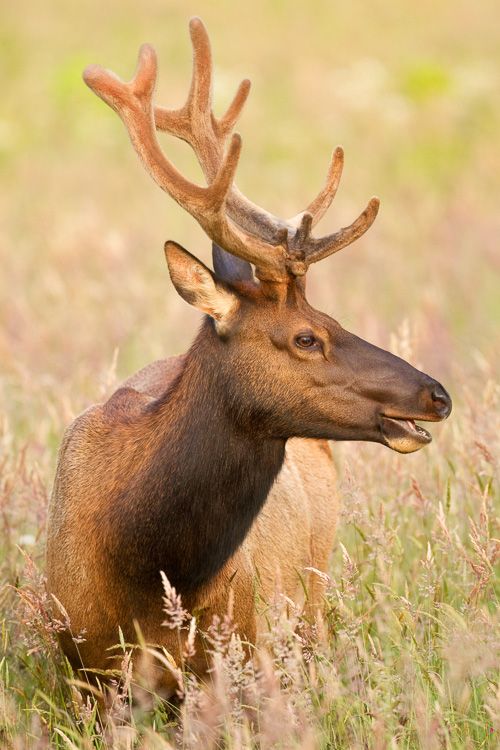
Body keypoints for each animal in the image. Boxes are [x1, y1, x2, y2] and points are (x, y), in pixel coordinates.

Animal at [46, 18, 451, 694]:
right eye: (307, 336)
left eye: (333, 317)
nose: (437, 394)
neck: (146, 570)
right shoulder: (81, 671)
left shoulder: (245, 650)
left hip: (310, 596)